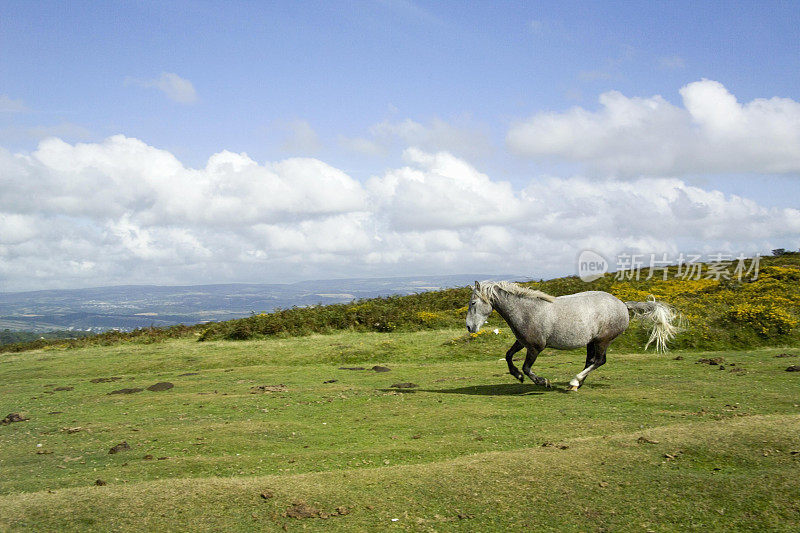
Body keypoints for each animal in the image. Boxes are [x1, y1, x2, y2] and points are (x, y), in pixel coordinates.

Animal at [466, 282, 680, 390]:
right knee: (591, 361)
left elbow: (527, 367)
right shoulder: (522, 342)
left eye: (473, 303)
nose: (469, 327)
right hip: (591, 341)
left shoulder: (536, 347)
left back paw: (574, 381)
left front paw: (543, 381)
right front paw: (517, 375)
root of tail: (622, 304)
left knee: (599, 361)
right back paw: (577, 384)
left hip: (602, 340)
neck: (527, 310)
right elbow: (509, 356)